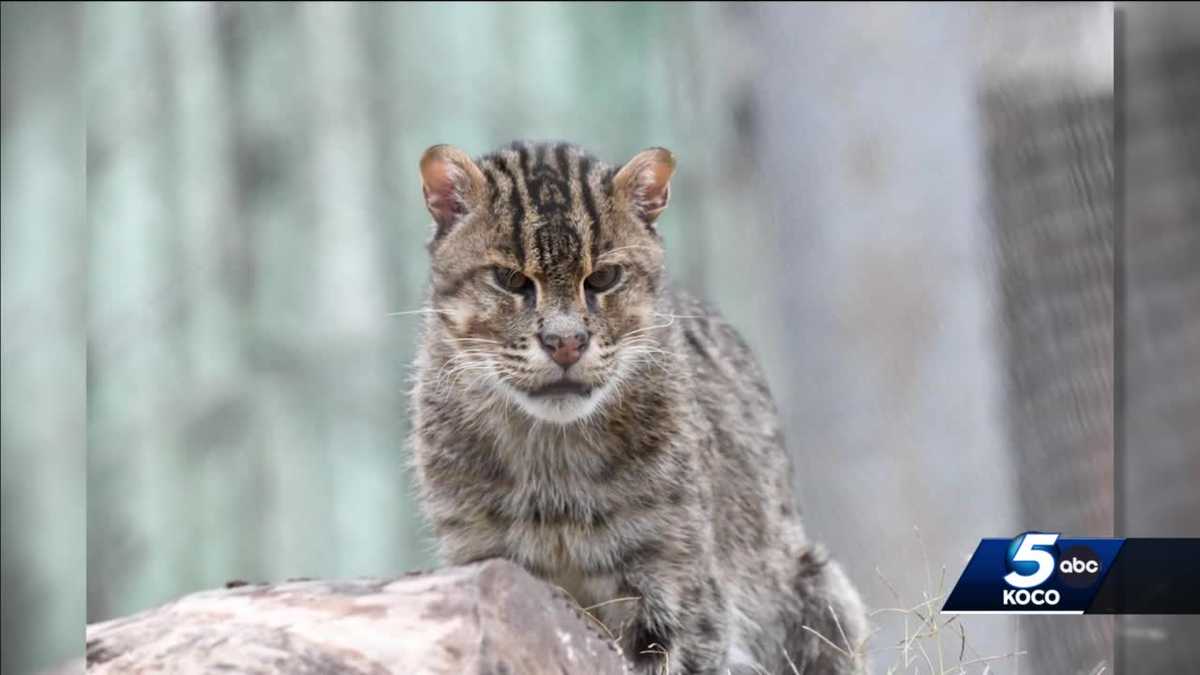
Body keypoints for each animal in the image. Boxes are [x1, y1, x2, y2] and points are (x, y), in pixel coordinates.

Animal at [410, 139, 864, 667]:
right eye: (509, 278)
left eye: (604, 277)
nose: (566, 343)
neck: (551, 463)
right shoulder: (481, 552)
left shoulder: (675, 583)